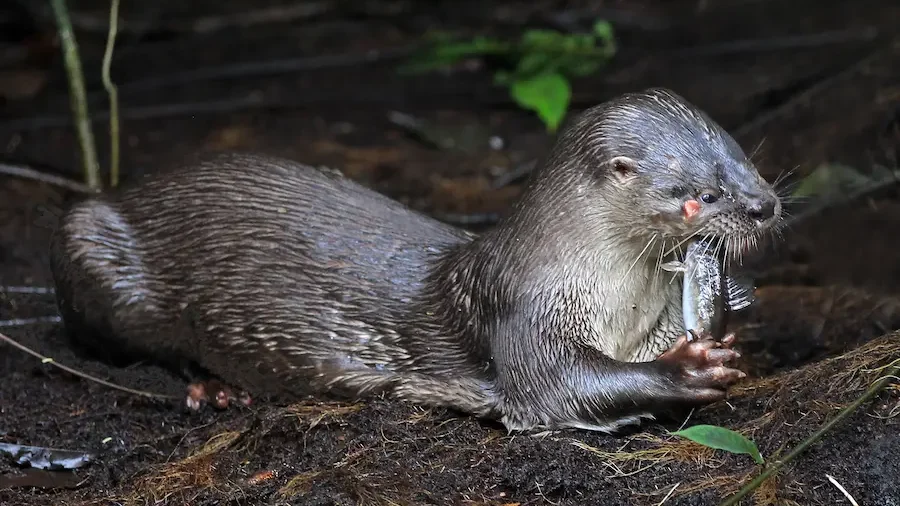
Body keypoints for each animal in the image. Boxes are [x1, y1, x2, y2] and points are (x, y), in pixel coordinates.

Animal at [49, 89, 780, 432]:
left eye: (746, 162)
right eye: (700, 194)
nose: (764, 206)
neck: (611, 299)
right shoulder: (526, 313)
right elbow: (556, 389)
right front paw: (687, 370)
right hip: (93, 252)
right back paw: (213, 388)